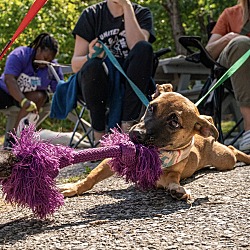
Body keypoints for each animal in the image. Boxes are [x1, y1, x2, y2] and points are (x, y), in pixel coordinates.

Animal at [57, 84, 250, 199]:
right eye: (151, 107)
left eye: (174, 122)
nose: (136, 134)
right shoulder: (112, 160)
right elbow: (91, 177)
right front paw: (73, 187)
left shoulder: (166, 175)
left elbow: (171, 179)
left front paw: (177, 189)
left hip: (224, 159)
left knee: (232, 149)